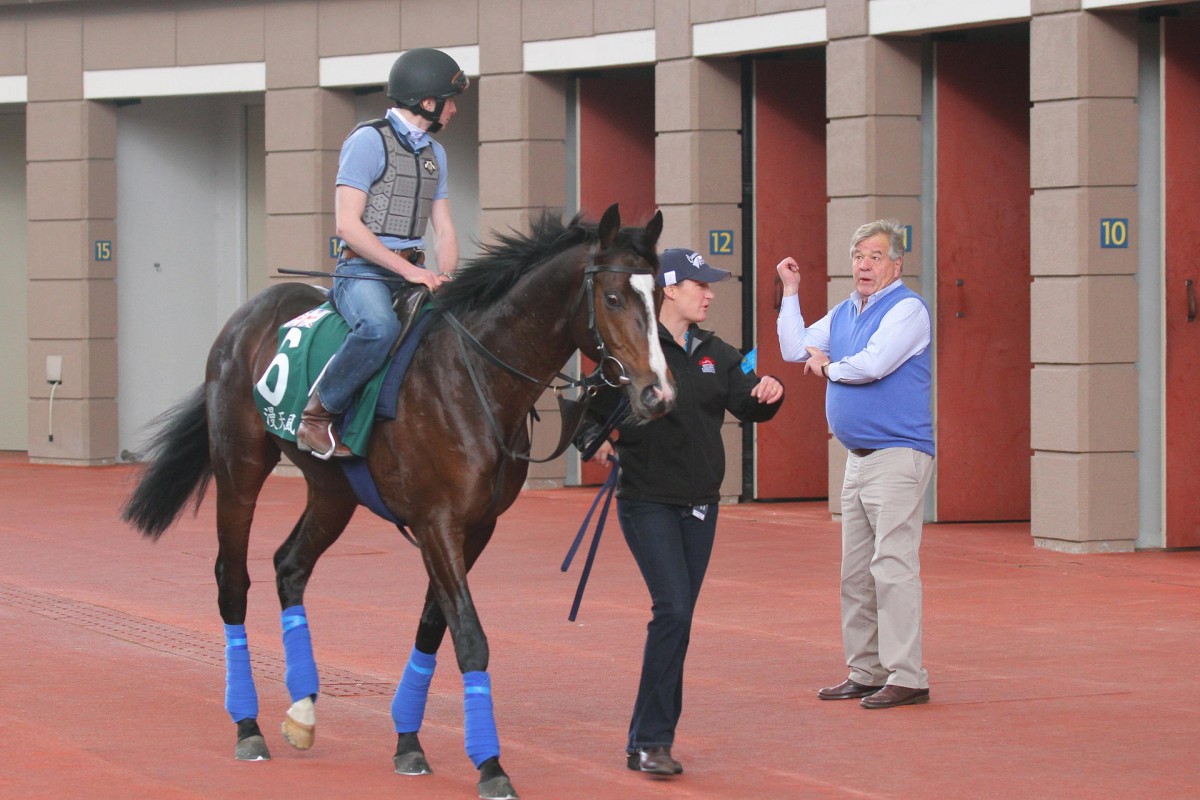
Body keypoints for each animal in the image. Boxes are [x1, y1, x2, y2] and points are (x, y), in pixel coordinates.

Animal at [121, 203, 676, 796]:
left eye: (660, 297)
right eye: (613, 297)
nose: (657, 393)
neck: (475, 379)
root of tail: (250, 312)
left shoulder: (476, 527)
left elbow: (435, 626)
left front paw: (408, 741)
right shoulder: (437, 522)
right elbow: (469, 636)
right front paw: (491, 764)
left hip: (333, 492)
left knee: (290, 566)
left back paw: (302, 711)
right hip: (239, 468)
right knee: (233, 580)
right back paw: (248, 725)